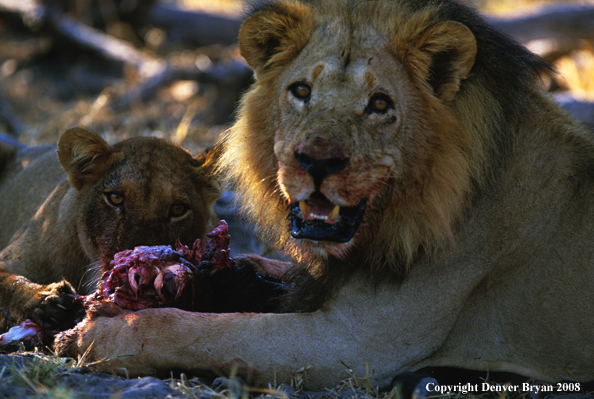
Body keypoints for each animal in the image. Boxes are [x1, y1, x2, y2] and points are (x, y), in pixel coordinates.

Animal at [54, 0, 592, 390]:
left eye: (380, 105)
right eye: (300, 91)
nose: (314, 161)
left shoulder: (356, 344)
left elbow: (212, 332)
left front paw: (98, 332)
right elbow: (263, 274)